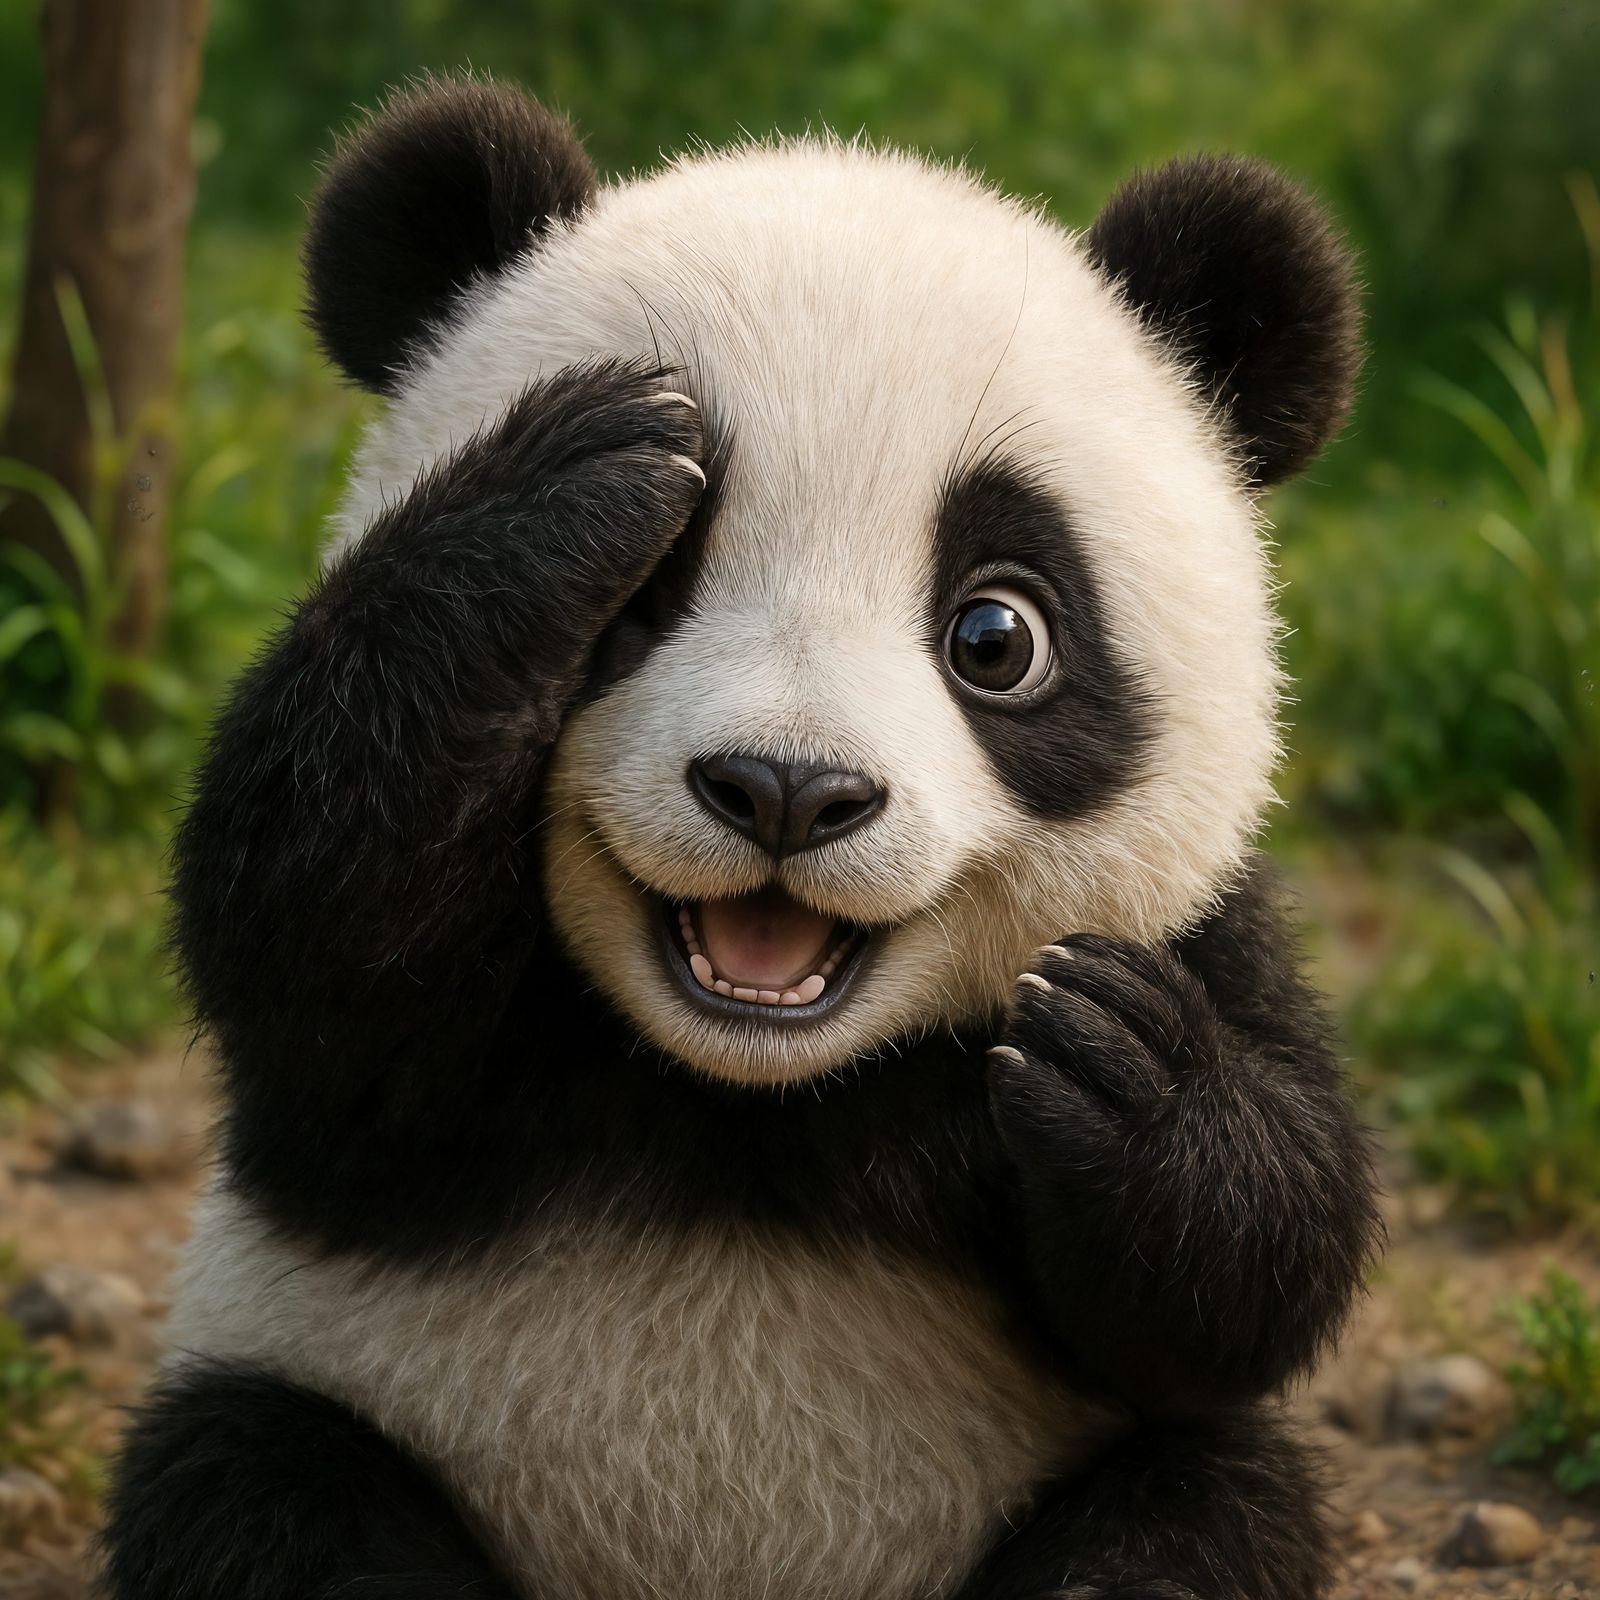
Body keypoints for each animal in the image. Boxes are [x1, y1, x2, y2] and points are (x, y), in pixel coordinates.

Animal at [101, 74, 1380, 1600]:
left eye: (996, 636)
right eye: (643, 590)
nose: (785, 790)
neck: (753, 1092)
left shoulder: (1207, 929)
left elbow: (1247, 1277)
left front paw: (1127, 1064)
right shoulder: (373, 1095)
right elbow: (307, 950)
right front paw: (569, 487)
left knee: (1198, 1514)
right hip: (318, 1397)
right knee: (261, 1486)